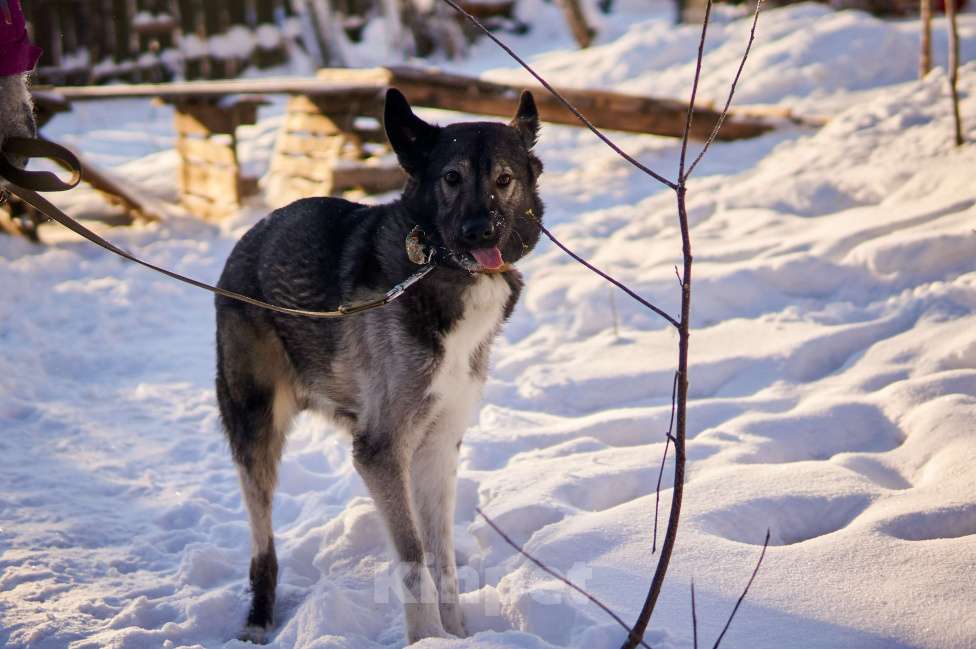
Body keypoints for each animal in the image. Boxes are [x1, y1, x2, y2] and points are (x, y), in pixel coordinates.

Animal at [214, 87, 544, 644]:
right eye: (451, 178)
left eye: (504, 178)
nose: (480, 232)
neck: (437, 270)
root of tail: (246, 242)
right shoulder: (380, 451)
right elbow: (412, 556)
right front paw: (426, 639)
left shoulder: (438, 446)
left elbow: (441, 556)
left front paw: (457, 636)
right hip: (255, 427)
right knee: (263, 541)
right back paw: (259, 619)